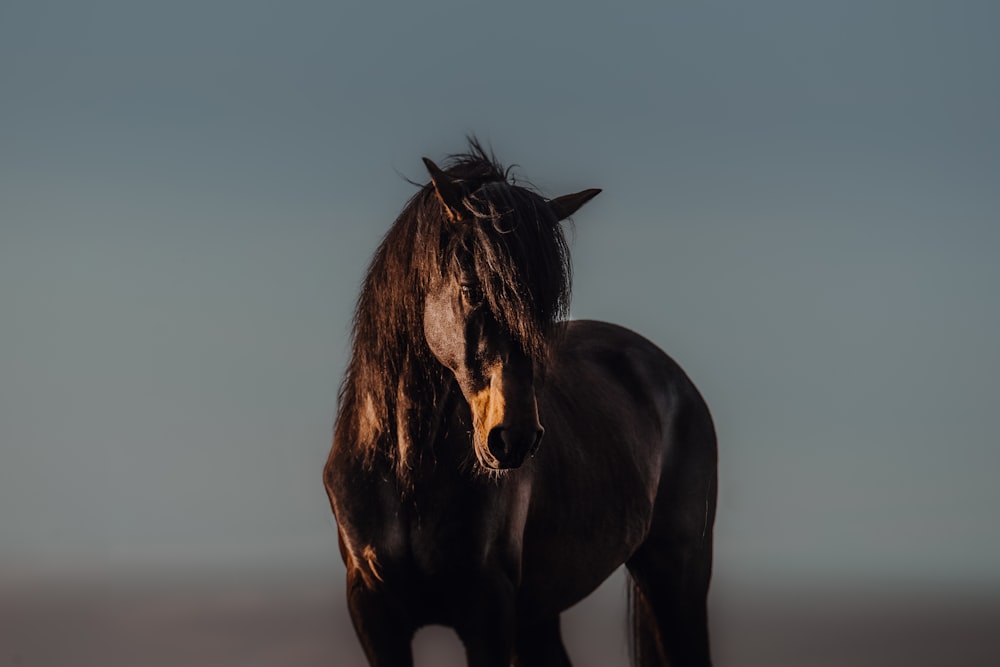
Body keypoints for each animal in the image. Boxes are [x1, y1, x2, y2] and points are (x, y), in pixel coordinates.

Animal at [324, 142, 716, 667]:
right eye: (472, 289)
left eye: (545, 306)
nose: (515, 438)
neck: (406, 472)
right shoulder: (375, 613)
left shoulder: (489, 610)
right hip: (541, 613)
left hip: (678, 575)